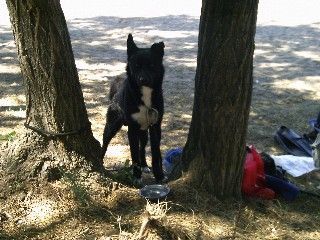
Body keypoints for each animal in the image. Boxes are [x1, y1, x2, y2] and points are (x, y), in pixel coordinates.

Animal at [101, 34, 166, 184]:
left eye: (151, 65)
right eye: (136, 66)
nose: (143, 79)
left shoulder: (155, 127)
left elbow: (156, 154)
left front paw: (159, 175)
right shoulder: (132, 130)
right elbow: (134, 154)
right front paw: (136, 177)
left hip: (144, 132)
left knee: (142, 148)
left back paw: (144, 165)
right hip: (111, 126)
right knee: (104, 143)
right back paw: (99, 161)